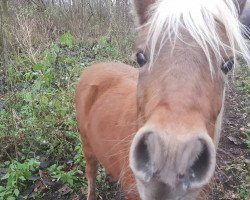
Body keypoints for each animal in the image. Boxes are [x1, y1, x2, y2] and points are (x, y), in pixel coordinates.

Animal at [75, 0, 249, 200]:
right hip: (87, 146)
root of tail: (94, 67)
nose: (171, 160)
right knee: (91, 172)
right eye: (140, 56)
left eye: (228, 64)